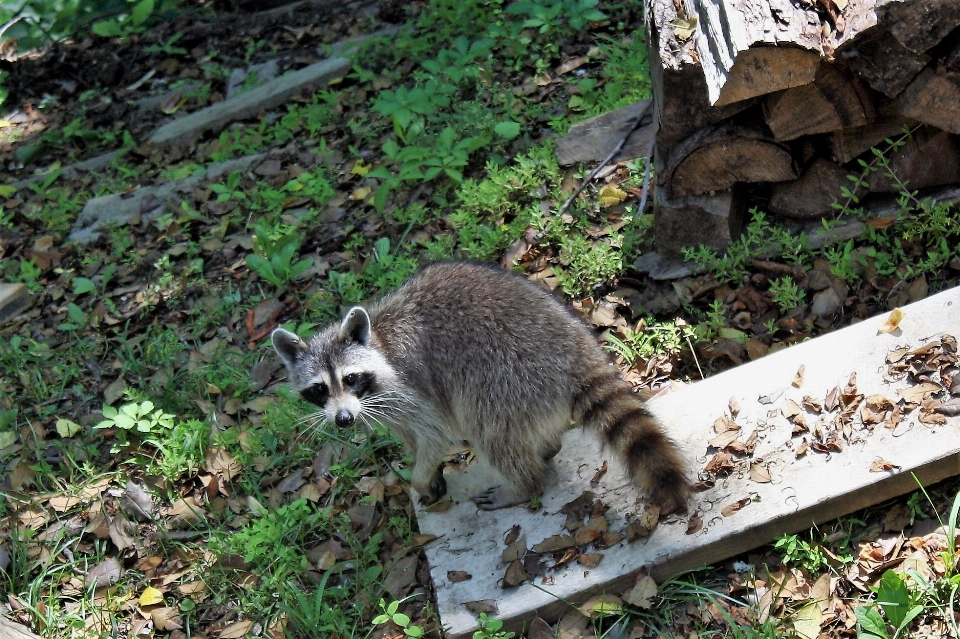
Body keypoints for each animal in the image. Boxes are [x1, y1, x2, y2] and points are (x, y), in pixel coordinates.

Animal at [270, 260, 688, 516]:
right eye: (319, 389)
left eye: (350, 378)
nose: (343, 420)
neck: (379, 343)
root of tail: (577, 350)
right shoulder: (383, 406)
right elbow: (411, 436)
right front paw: (427, 471)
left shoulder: (410, 386)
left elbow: (436, 431)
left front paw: (419, 475)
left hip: (506, 372)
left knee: (487, 427)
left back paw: (524, 484)